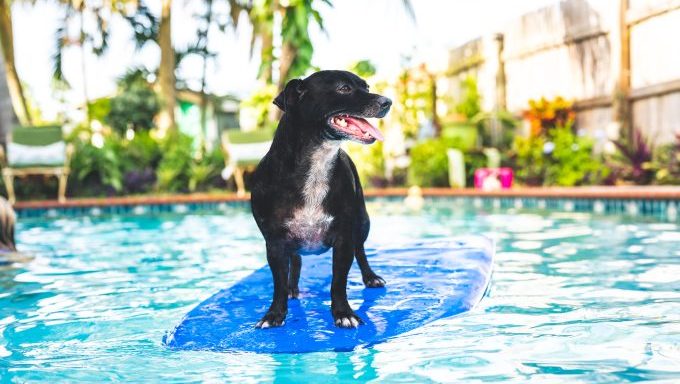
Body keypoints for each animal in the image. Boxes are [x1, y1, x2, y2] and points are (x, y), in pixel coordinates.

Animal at [250, 69, 390, 328]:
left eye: (366, 87)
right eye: (344, 88)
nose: (387, 101)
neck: (316, 163)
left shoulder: (344, 239)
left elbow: (338, 282)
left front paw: (343, 313)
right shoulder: (274, 243)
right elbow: (278, 283)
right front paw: (274, 314)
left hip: (362, 223)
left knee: (361, 251)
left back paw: (370, 277)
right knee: (295, 260)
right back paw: (293, 288)